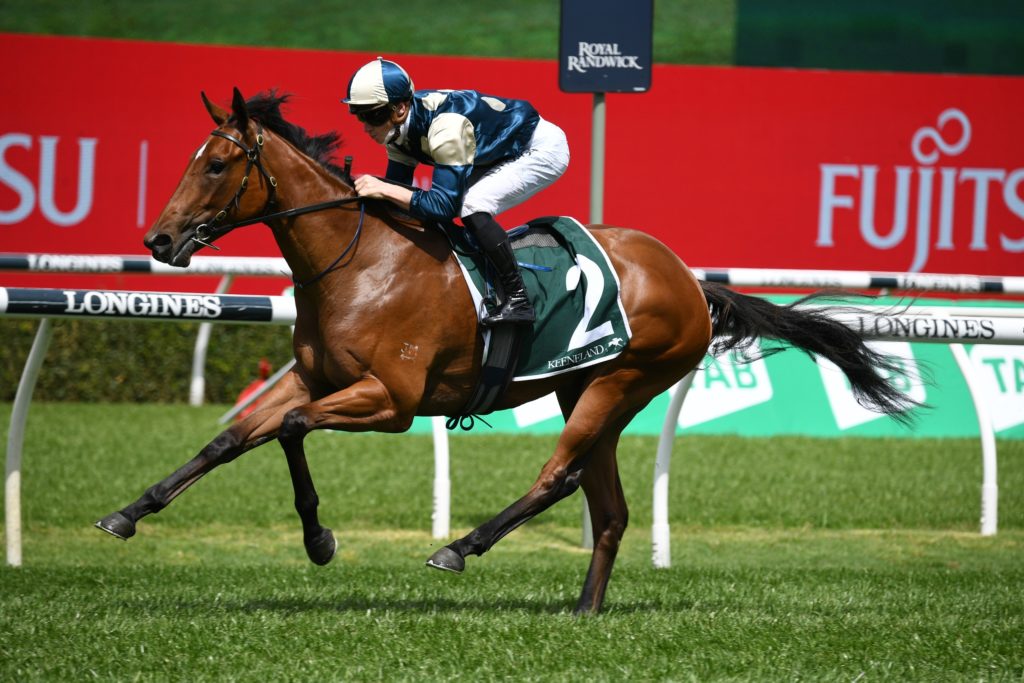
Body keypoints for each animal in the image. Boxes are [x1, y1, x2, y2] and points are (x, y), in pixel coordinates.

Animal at [95, 88, 914, 614]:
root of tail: (689, 278)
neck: (356, 262)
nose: (159, 240)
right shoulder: (311, 378)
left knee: (559, 475)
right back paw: (583, 611)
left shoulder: (390, 401)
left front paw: (321, 539)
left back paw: (461, 546)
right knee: (608, 507)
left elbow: (291, 431)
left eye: (215, 166)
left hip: (622, 381)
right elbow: (235, 437)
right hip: (586, 387)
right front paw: (131, 512)